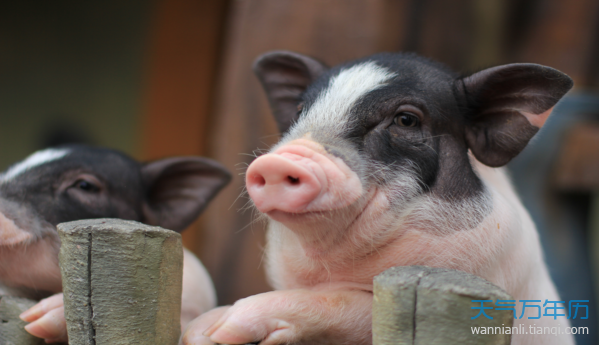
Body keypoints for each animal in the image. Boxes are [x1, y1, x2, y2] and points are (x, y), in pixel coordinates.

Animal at [182, 51, 576, 344]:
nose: (280, 161)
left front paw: (214, 330)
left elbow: (350, 305)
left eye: (406, 120)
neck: (331, 267)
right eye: (299, 111)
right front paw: (199, 332)